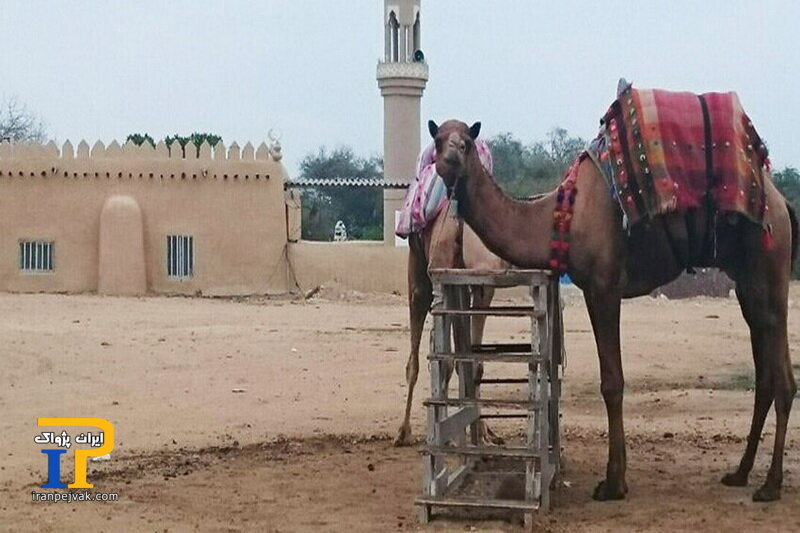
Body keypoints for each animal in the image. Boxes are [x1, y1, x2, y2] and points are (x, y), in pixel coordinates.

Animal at [396, 204, 506, 444]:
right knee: (471, 361)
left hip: (442, 274)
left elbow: (417, 364)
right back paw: (477, 432)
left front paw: (404, 431)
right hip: (480, 283)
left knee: (442, 361)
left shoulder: (421, 275)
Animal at [432, 117, 800, 502]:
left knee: (783, 377)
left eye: (466, 142)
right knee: (765, 372)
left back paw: (770, 484)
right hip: (748, 282)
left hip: (767, 264)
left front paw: (612, 482)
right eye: (438, 140)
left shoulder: (603, 286)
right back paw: (740, 473)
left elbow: (612, 382)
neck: (559, 215)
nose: (450, 159)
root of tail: (782, 204)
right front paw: (615, 477)